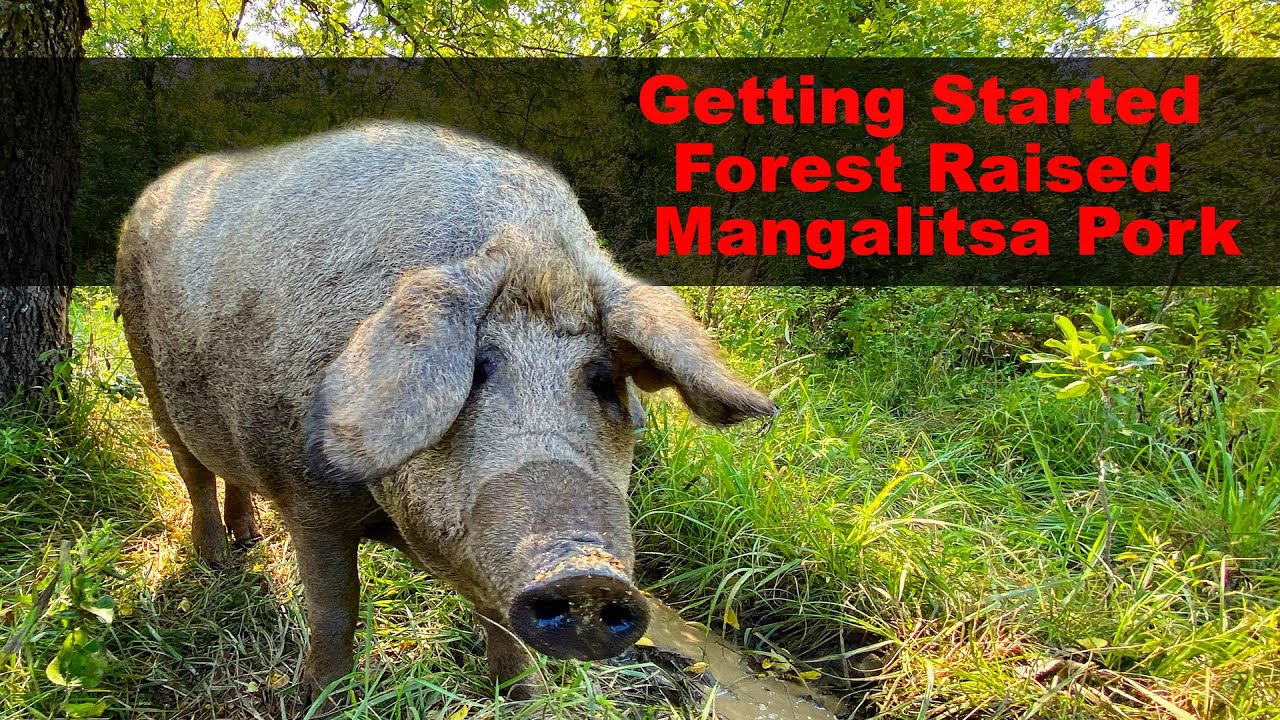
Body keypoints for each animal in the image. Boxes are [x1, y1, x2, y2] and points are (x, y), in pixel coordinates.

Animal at [114, 120, 776, 701]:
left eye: (604, 382)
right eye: (477, 368)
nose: (586, 572)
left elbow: (503, 627)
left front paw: (525, 698)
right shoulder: (309, 494)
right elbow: (335, 607)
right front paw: (319, 699)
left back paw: (248, 539)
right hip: (149, 370)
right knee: (191, 470)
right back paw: (218, 561)